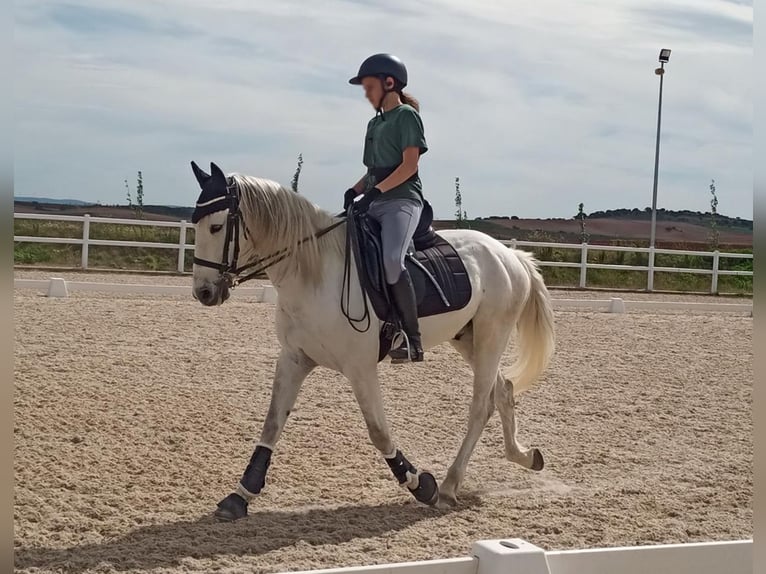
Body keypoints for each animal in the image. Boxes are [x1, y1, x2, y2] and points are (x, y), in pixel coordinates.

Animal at [189, 161, 556, 520]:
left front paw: (421, 485)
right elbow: (272, 423)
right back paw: (525, 456)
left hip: (493, 334)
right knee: (503, 390)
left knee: (481, 405)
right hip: (468, 339)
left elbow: (378, 432)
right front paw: (240, 495)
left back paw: (449, 486)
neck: (315, 274)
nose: (203, 293)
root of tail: (509, 255)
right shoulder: (294, 358)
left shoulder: (360, 368)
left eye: (217, 227)